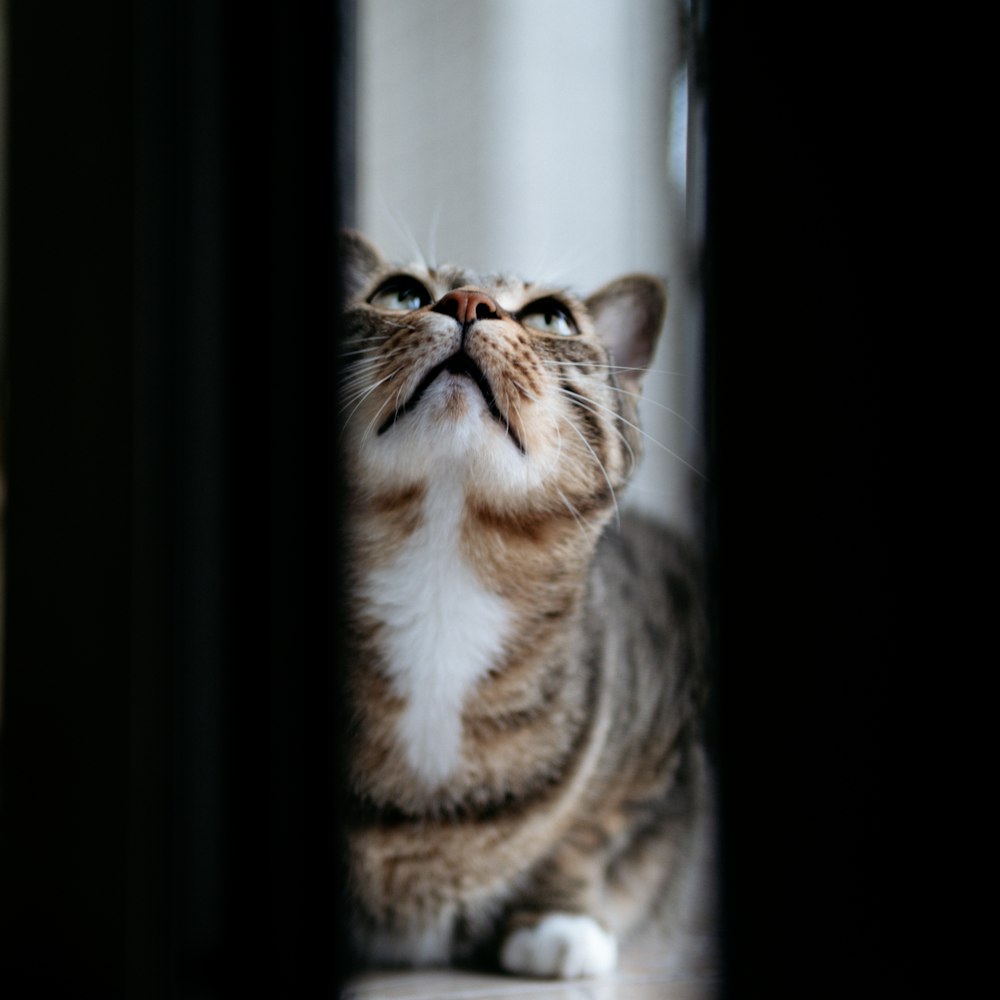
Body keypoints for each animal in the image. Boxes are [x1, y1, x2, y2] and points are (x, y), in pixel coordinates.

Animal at [340, 230, 716, 980]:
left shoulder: (661, 729)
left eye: (551, 317)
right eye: (400, 294)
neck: (439, 592)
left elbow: (590, 828)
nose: (466, 301)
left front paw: (557, 918)